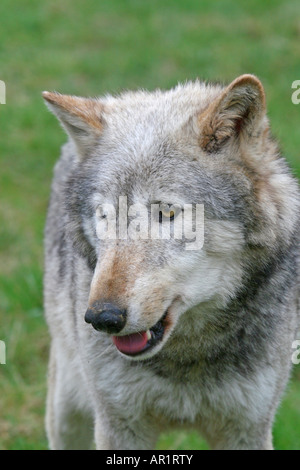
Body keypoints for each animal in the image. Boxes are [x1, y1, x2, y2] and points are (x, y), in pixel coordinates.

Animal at [42, 75, 300, 450]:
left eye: (166, 213)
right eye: (104, 216)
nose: (102, 318)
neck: (186, 356)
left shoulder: (247, 428)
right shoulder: (118, 427)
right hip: (67, 407)